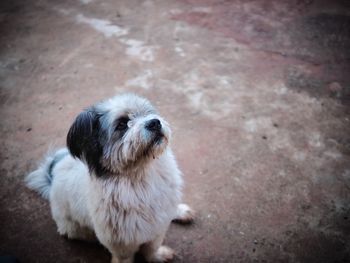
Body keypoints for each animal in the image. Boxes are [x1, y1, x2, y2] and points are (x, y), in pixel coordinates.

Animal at [25, 95, 194, 263]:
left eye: (148, 113)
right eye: (122, 124)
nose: (155, 122)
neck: (140, 176)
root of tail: (52, 179)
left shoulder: (159, 222)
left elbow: (152, 245)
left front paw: (158, 255)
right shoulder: (121, 241)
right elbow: (128, 256)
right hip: (75, 229)